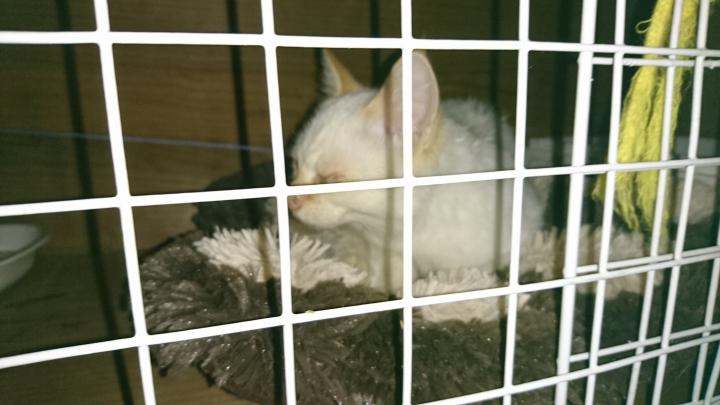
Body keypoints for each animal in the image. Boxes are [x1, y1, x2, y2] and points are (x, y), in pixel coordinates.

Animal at [287, 50, 546, 294]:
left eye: (330, 179)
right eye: (295, 166)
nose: (292, 201)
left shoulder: (522, 223)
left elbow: (475, 269)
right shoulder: (384, 246)